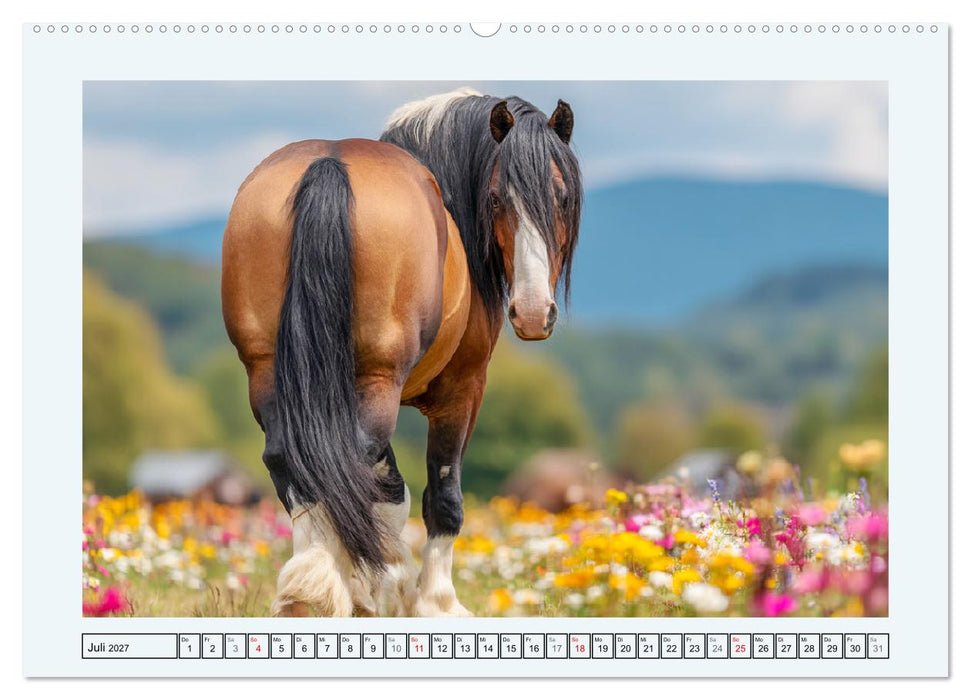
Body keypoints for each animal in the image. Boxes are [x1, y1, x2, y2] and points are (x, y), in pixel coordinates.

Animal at [221, 88, 582, 617]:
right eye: (497, 198)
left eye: (562, 197)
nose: (534, 313)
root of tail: (329, 163)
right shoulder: (463, 390)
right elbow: (440, 494)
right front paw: (432, 600)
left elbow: (386, 490)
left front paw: (379, 583)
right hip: (379, 376)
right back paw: (326, 586)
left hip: (270, 371)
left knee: (297, 459)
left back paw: (308, 589)